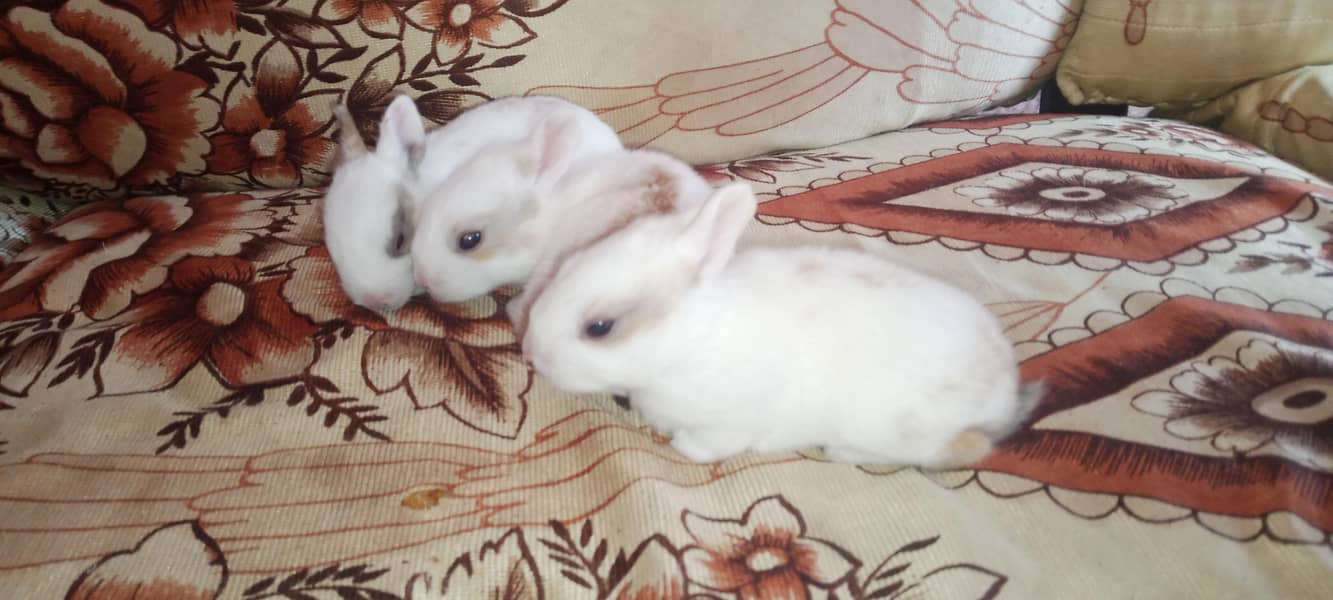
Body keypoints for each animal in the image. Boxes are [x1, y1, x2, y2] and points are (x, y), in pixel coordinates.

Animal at [519, 181, 1041, 467]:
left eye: (600, 327)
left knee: (965, 449)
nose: (530, 351)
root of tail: (1004, 391)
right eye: (564, 267)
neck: (690, 340)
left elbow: (705, 446)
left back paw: (843, 453)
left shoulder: (729, 420)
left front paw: (682, 445)